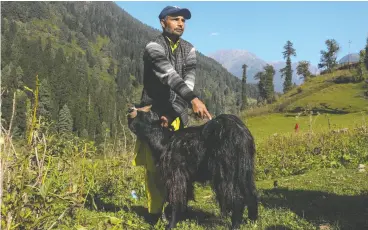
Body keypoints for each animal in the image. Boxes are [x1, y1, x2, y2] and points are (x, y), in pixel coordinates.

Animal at [128, 105, 258, 228]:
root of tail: (238, 131)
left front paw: (171, 224)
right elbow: (184, 198)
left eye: (143, 114)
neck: (163, 140)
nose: (130, 110)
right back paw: (253, 221)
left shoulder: (175, 177)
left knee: (237, 198)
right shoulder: (186, 179)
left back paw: (235, 225)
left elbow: (176, 200)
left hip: (225, 173)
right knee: (251, 193)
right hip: (244, 170)